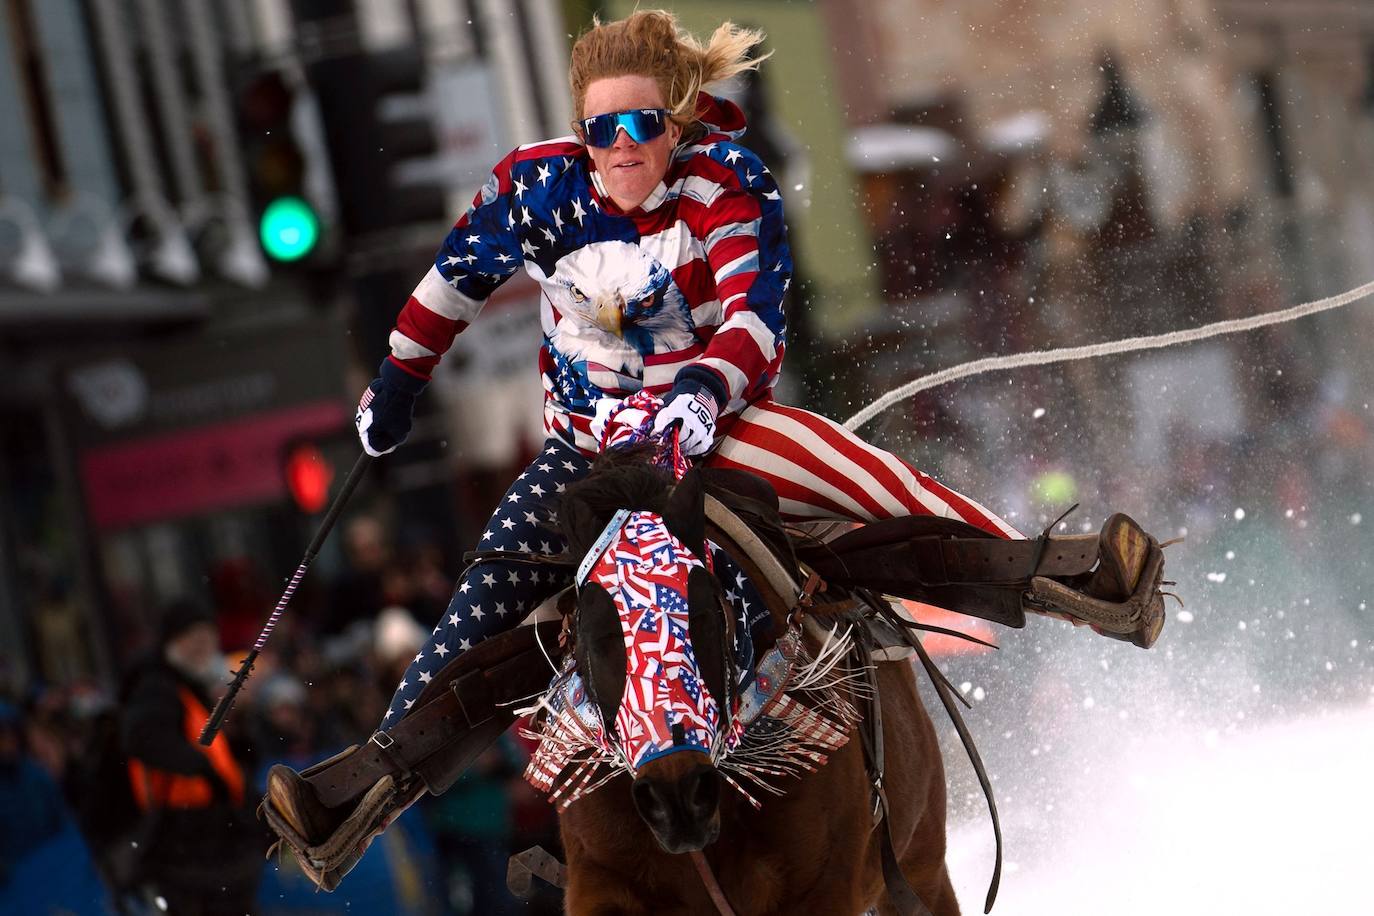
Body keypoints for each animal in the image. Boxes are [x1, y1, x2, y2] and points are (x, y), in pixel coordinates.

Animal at [541, 455, 961, 911]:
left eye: (705, 613)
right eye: (596, 636)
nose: (678, 798)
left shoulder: (821, 884)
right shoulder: (602, 874)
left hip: (921, 863)